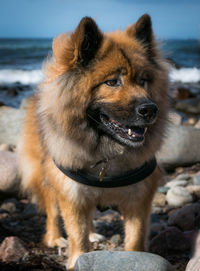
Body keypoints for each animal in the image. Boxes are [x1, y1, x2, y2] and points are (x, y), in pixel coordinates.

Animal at [18, 14, 169, 270]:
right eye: (112, 82)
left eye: (143, 81)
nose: (150, 109)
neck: (107, 153)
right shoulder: (72, 194)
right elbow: (76, 233)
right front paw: (78, 258)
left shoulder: (139, 197)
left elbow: (135, 236)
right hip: (46, 175)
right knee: (52, 211)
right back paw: (55, 238)